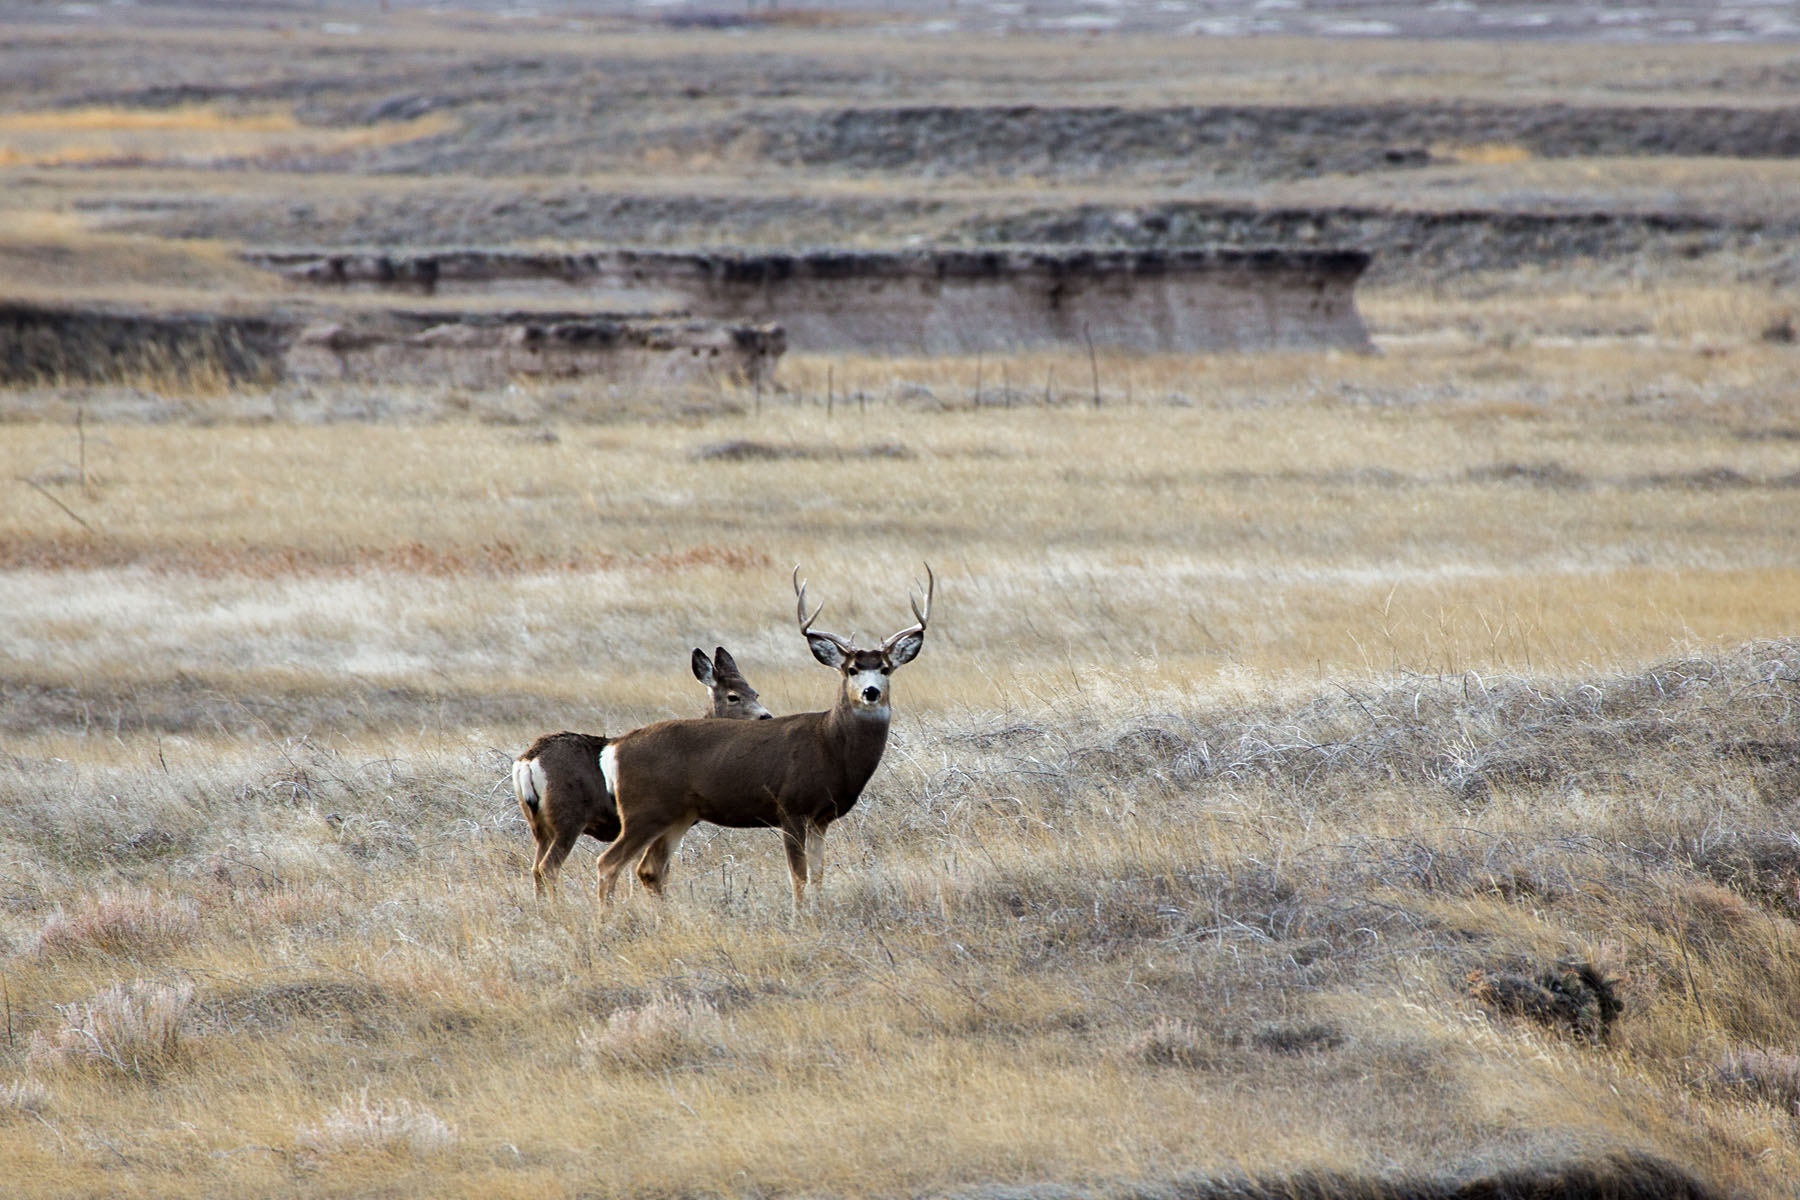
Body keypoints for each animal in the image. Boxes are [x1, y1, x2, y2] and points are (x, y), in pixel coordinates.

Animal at [512, 646, 771, 898]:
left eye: (755, 693)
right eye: (733, 696)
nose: (765, 716)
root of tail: (528, 761)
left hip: (539, 825)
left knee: (536, 868)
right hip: (567, 818)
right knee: (548, 868)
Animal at [594, 564, 933, 910]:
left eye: (885, 668)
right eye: (851, 669)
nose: (871, 691)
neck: (830, 743)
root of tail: (614, 747)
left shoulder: (822, 817)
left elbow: (818, 873)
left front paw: (818, 909)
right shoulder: (790, 806)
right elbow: (798, 875)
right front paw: (800, 915)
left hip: (677, 815)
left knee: (648, 869)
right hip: (643, 809)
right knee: (608, 863)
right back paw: (606, 920)